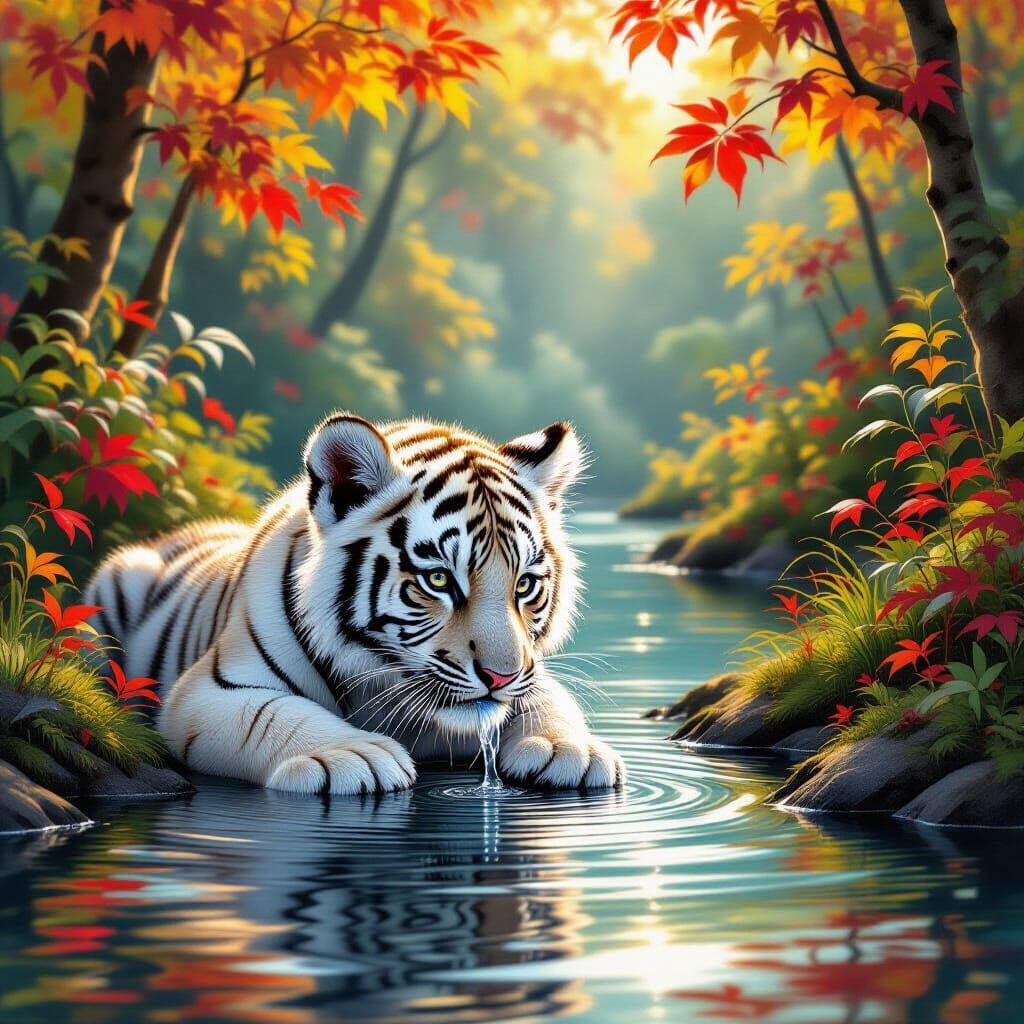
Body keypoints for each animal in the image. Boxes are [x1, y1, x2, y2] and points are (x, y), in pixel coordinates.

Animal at [84, 412, 624, 796]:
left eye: (524, 585)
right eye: (438, 579)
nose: (500, 677)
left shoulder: (529, 672)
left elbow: (549, 697)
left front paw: (567, 748)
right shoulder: (206, 691)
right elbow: (272, 714)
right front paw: (354, 754)